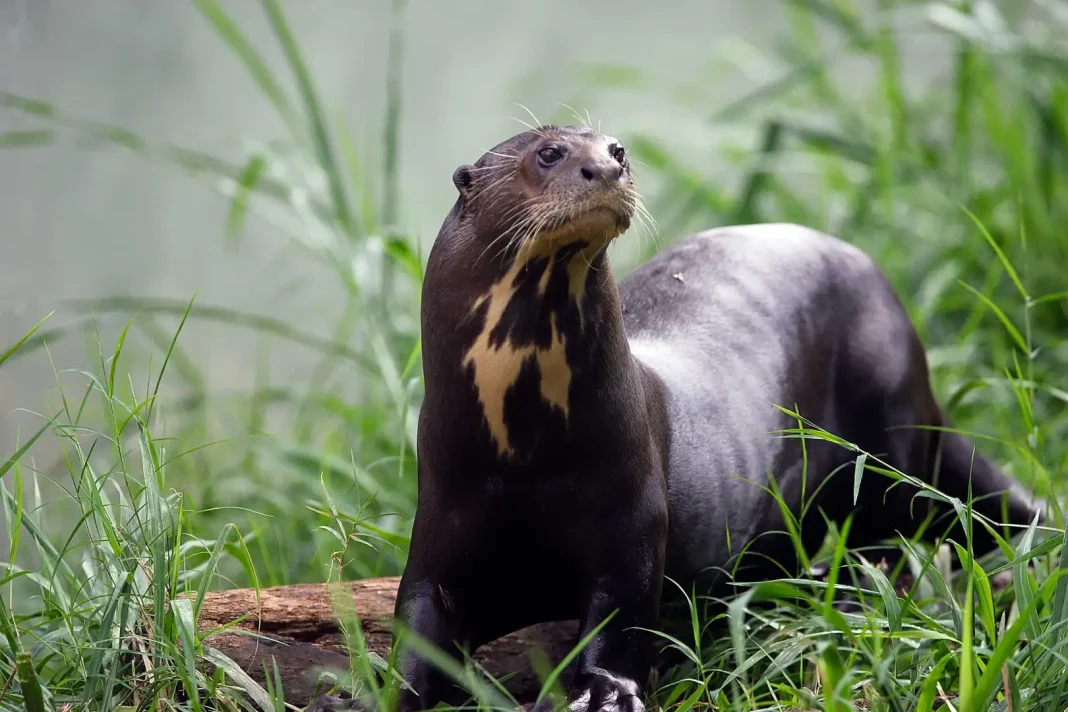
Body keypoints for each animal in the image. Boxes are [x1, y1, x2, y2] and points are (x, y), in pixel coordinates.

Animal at [309, 125, 1043, 712]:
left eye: (616, 147)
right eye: (549, 153)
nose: (606, 167)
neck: (520, 454)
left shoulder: (632, 518)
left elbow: (623, 618)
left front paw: (603, 695)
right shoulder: (441, 518)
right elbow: (417, 627)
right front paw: (364, 695)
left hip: (887, 412)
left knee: (898, 531)